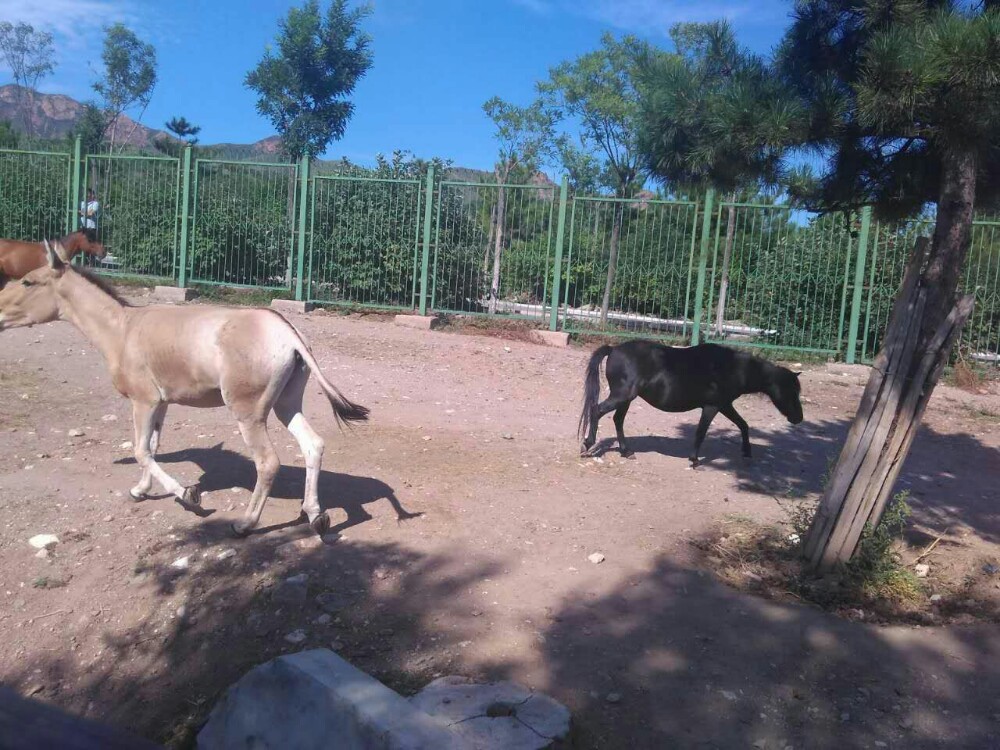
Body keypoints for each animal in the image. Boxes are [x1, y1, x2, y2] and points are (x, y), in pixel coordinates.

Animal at [580, 340, 804, 464]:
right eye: (791, 391)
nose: (799, 418)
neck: (731, 368)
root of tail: (613, 349)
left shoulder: (725, 405)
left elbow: (743, 425)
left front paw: (747, 452)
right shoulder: (712, 407)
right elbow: (701, 432)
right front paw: (694, 459)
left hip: (626, 399)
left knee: (617, 420)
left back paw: (626, 452)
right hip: (622, 396)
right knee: (597, 410)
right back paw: (588, 445)